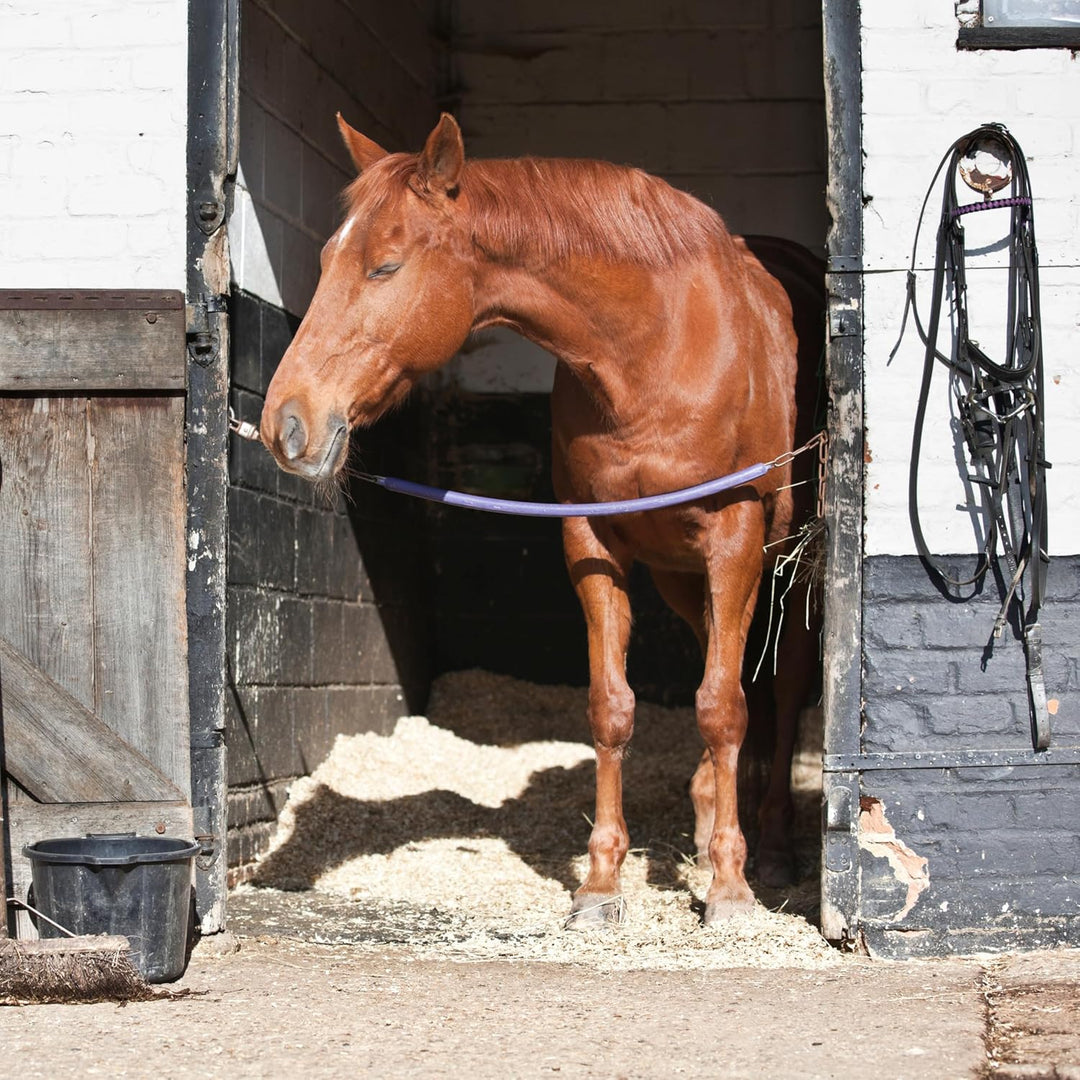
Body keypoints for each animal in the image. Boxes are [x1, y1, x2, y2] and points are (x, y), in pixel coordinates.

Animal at [261, 112, 812, 925]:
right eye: (328, 256)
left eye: (385, 267)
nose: (285, 423)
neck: (653, 348)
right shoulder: (592, 540)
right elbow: (613, 709)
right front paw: (603, 884)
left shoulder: (734, 537)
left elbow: (721, 709)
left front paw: (730, 890)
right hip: (683, 576)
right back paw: (709, 811)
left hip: (786, 570)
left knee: (781, 687)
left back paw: (769, 848)